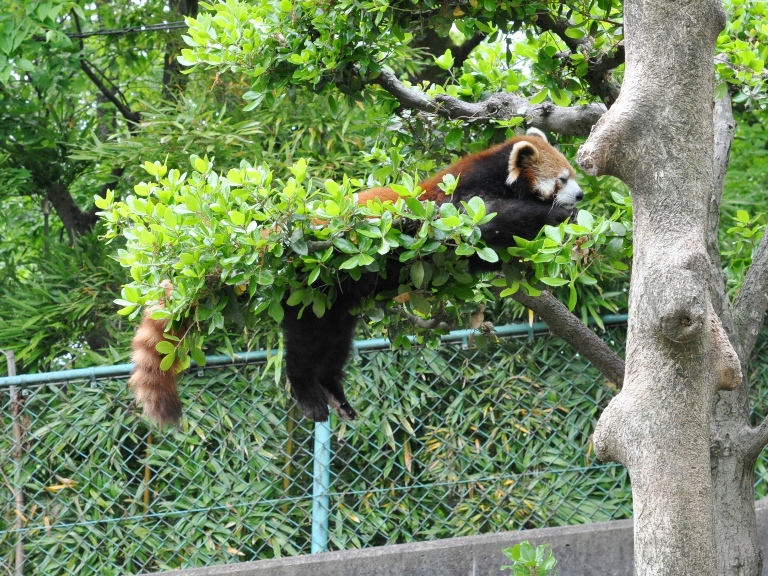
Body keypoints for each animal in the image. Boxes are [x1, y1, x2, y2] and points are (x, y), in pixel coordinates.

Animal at [127, 128, 584, 426]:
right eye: (563, 178)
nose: (580, 193)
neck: (495, 173)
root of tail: (274, 239)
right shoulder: (457, 203)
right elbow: (489, 223)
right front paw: (555, 214)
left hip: (334, 305)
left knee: (335, 347)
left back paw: (334, 391)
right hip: (307, 289)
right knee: (303, 348)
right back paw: (307, 394)